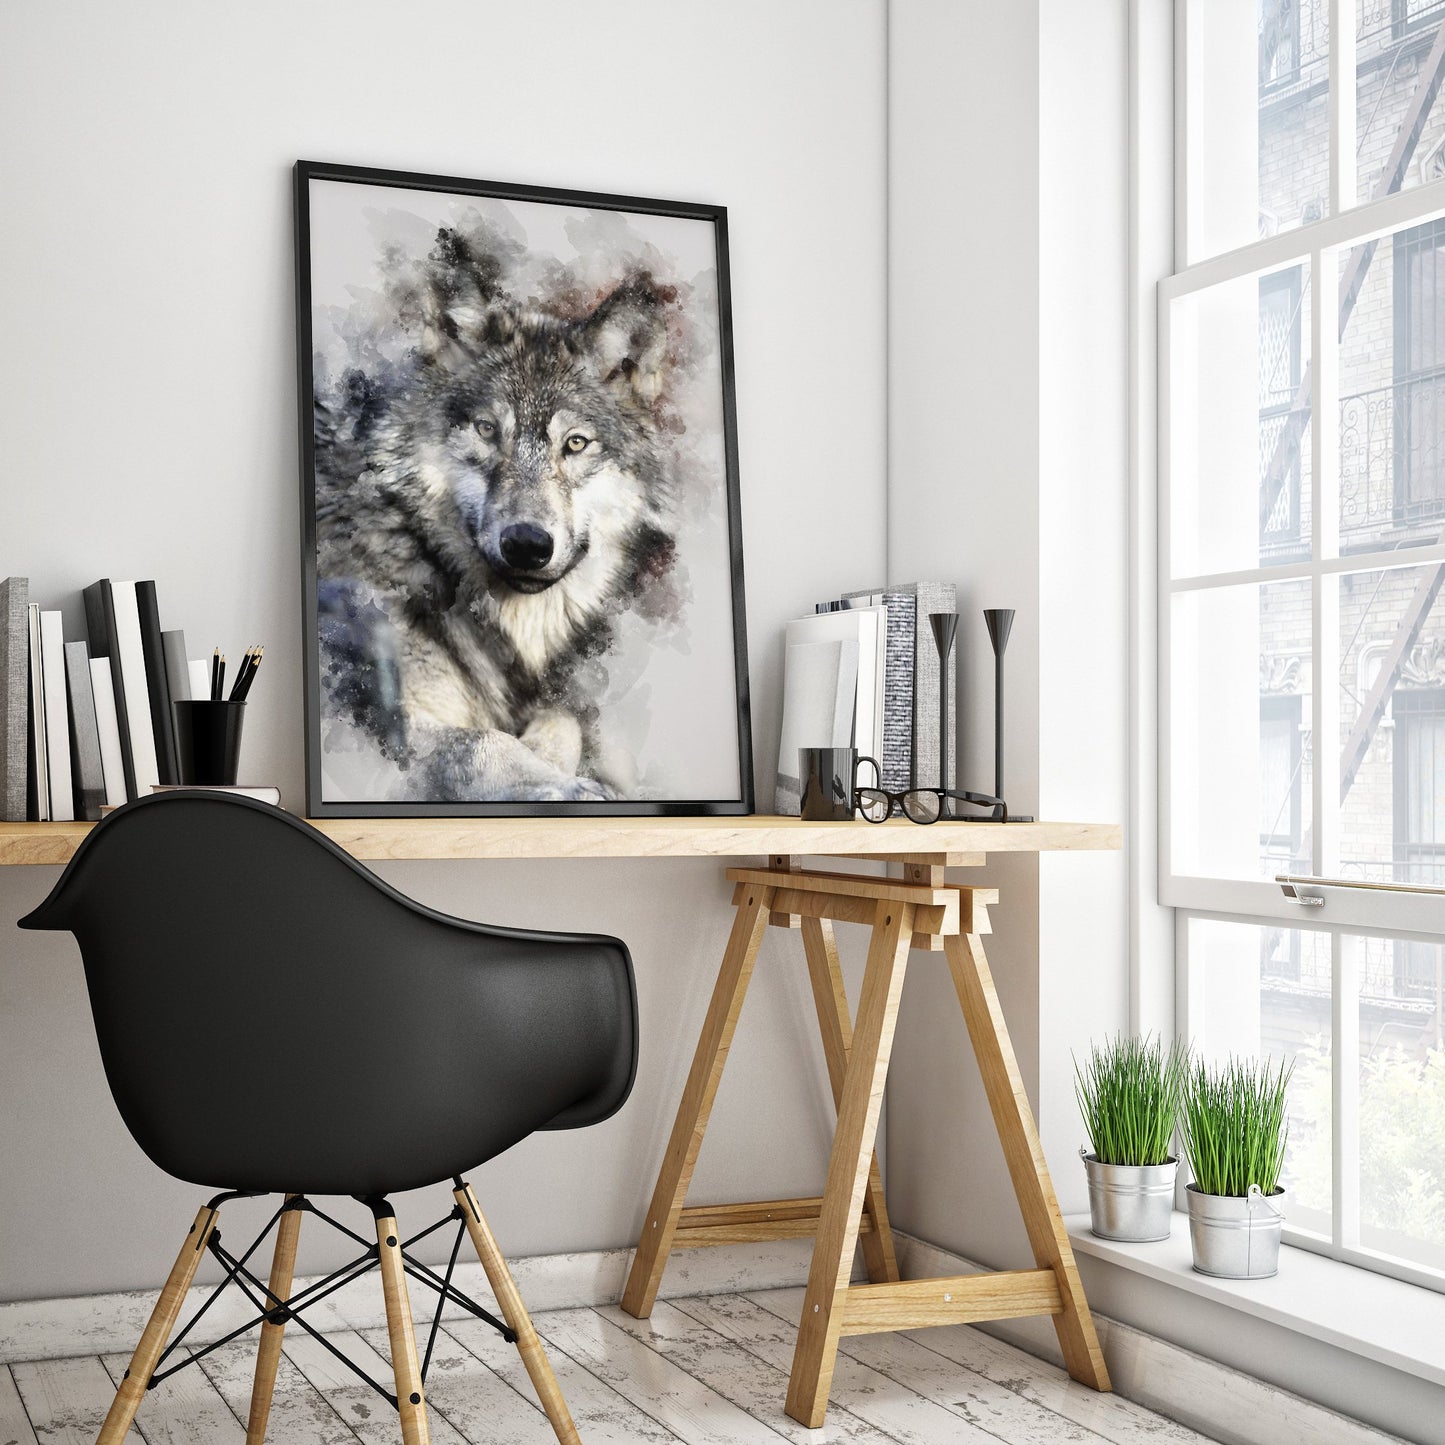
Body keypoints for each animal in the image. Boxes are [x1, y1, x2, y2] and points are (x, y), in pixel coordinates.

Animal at [315, 225, 681, 802]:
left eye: (575, 443)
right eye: (488, 430)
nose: (527, 544)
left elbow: (563, 723)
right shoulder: (387, 727)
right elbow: (484, 742)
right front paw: (569, 790)